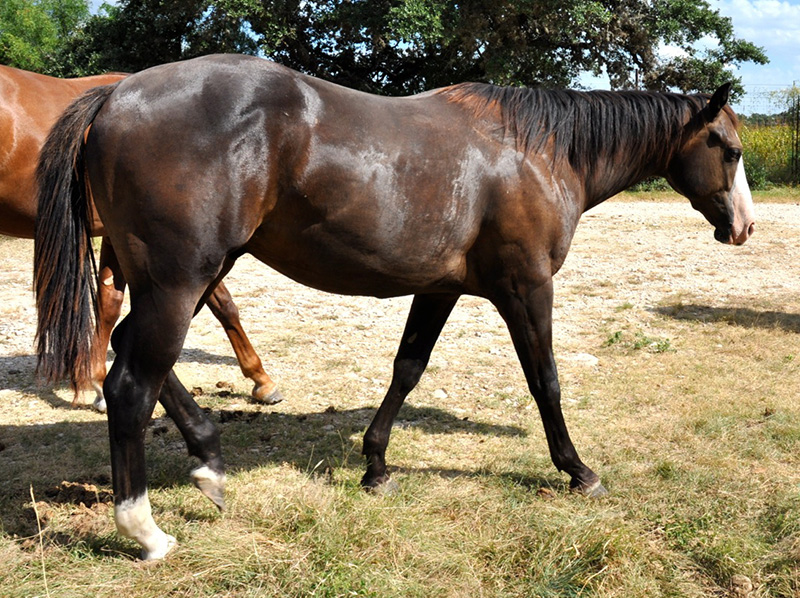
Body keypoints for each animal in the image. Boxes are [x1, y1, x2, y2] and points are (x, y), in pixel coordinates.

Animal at [34, 54, 752, 560]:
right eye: (729, 149)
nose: (743, 227)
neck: (538, 153)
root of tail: (117, 96)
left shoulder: (439, 288)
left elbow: (407, 370)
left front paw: (376, 465)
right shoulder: (526, 288)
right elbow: (544, 380)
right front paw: (577, 469)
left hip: (180, 276)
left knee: (131, 353)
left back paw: (209, 462)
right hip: (181, 281)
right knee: (131, 383)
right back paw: (144, 530)